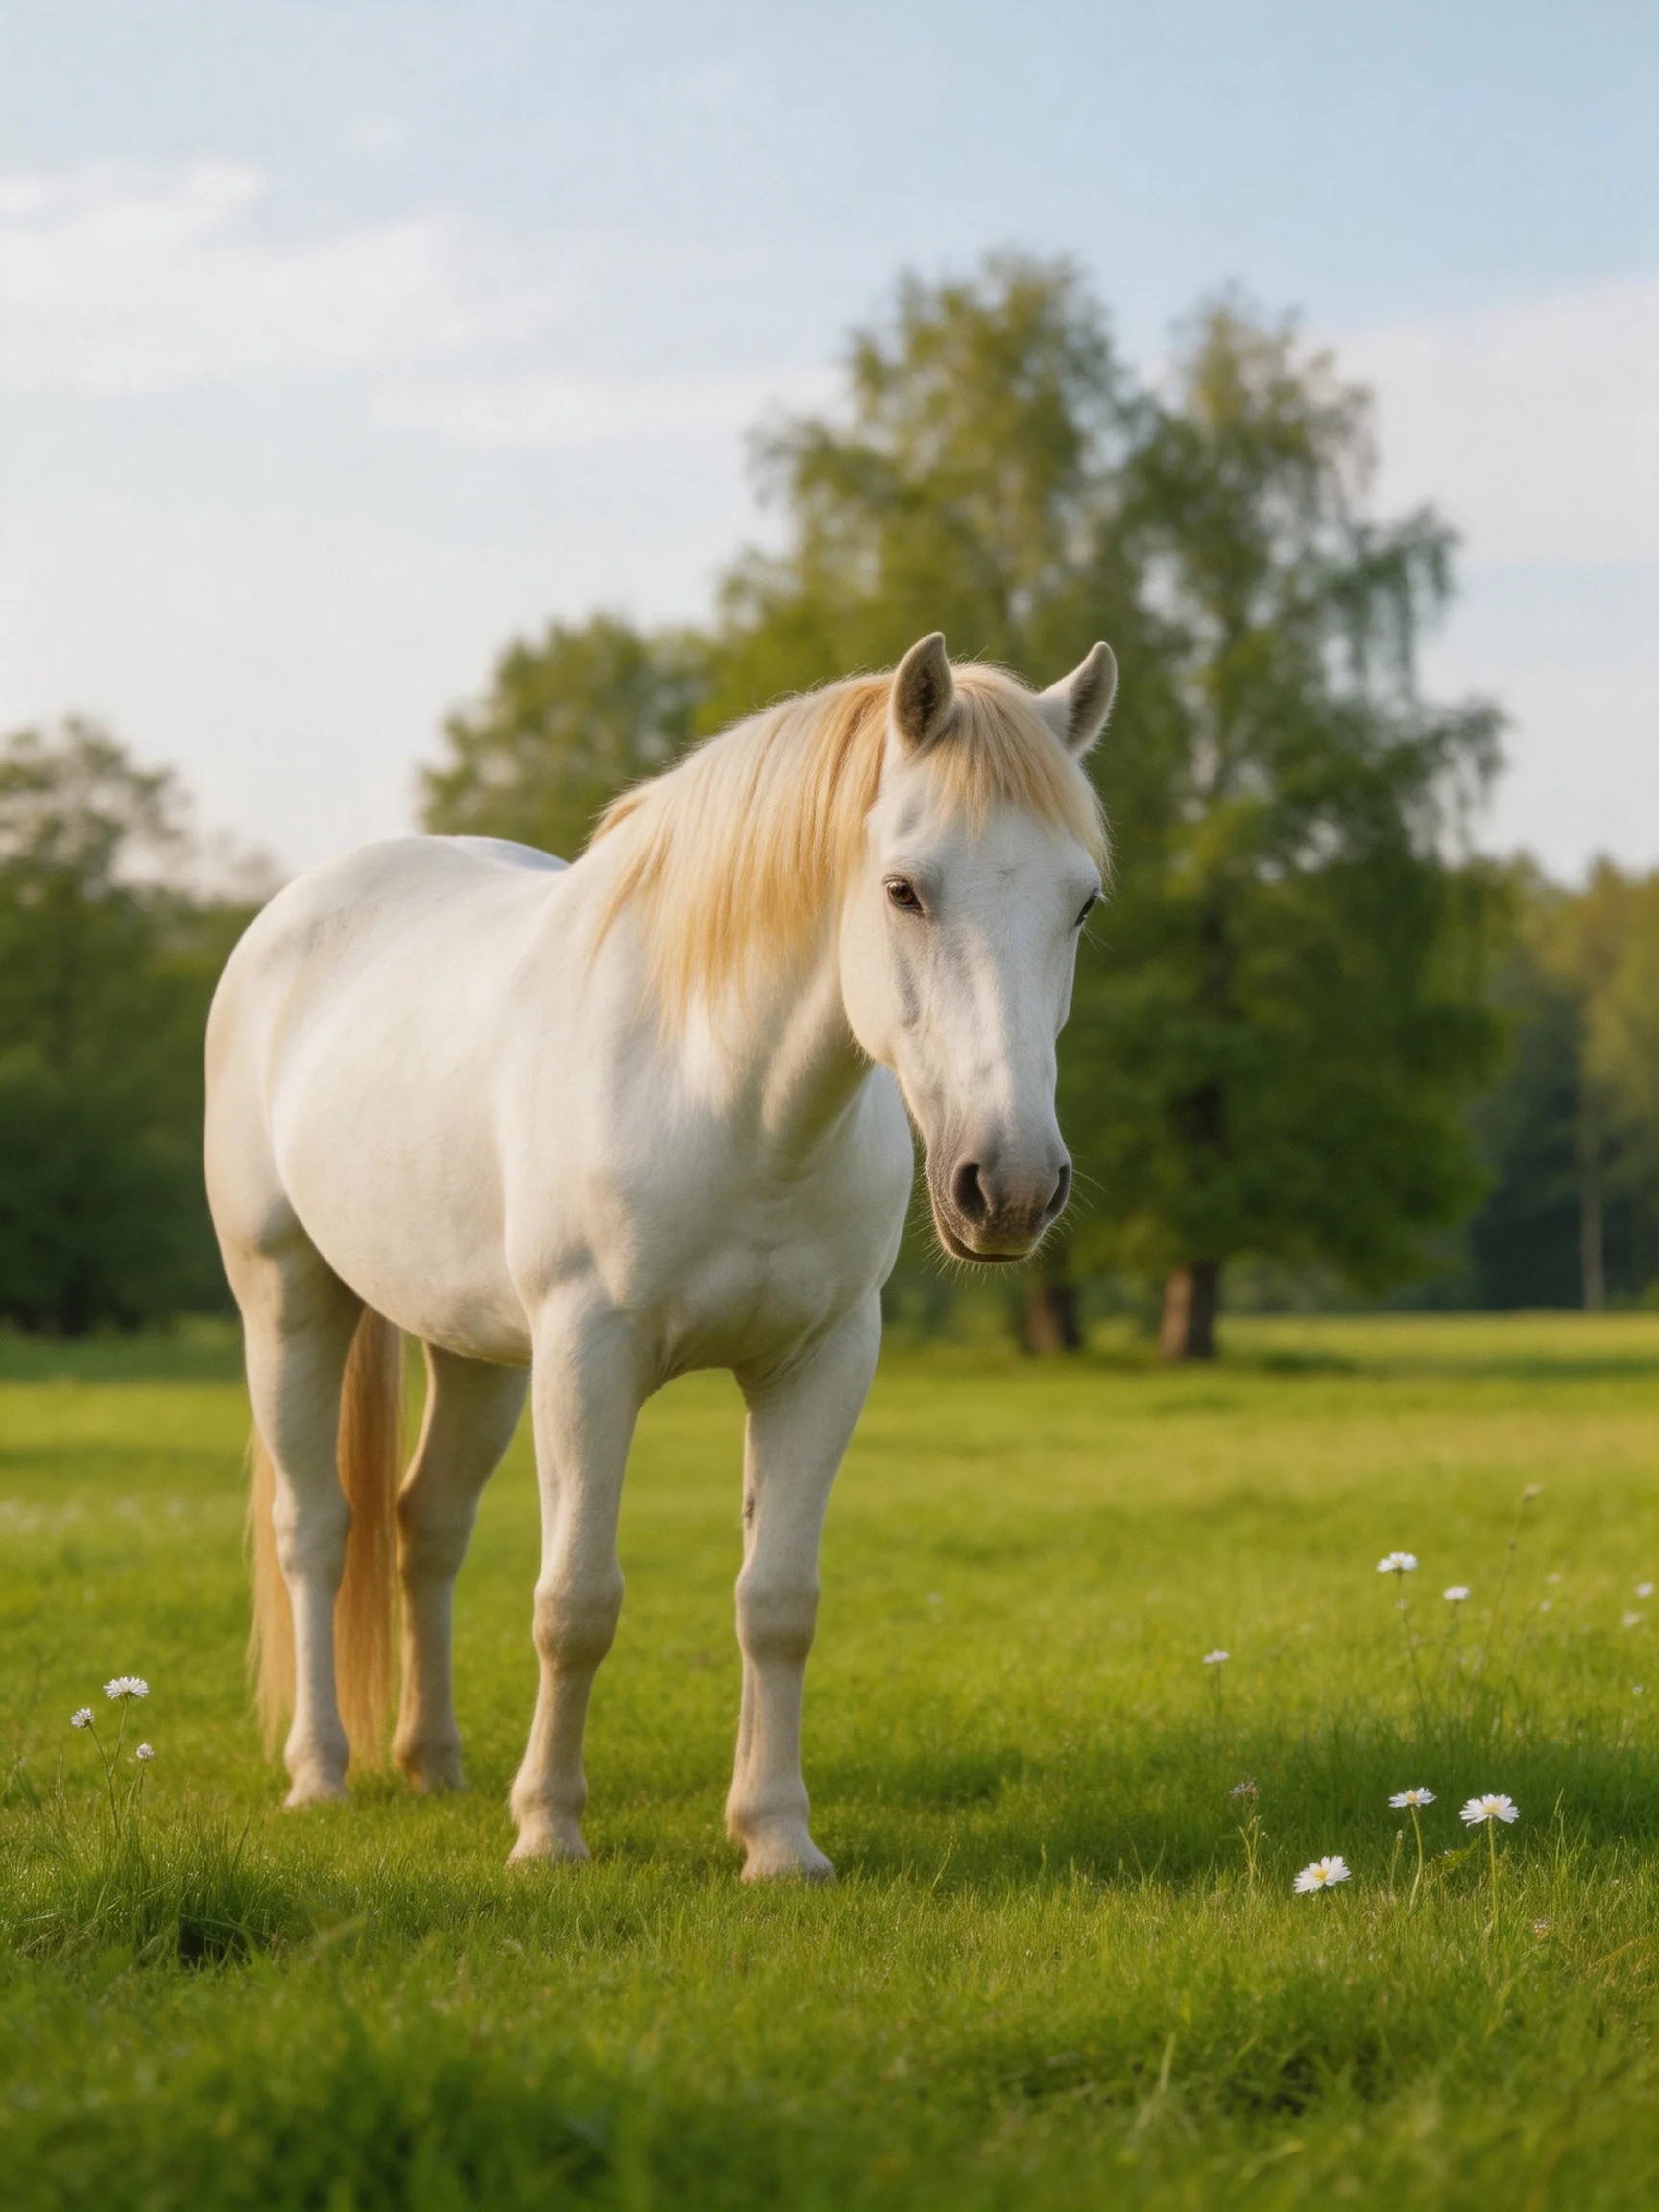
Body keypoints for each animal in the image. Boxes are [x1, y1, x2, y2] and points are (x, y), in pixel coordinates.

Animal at [204, 630, 1116, 1878]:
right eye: (904, 888)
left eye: (1081, 904)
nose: (1010, 1187)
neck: (729, 1097)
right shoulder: (590, 1356)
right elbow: (576, 1603)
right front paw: (549, 1833)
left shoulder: (820, 1364)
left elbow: (778, 1602)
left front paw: (776, 1839)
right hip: (289, 1302)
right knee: (317, 1529)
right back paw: (321, 1775)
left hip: (479, 1355)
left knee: (426, 1528)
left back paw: (433, 1765)